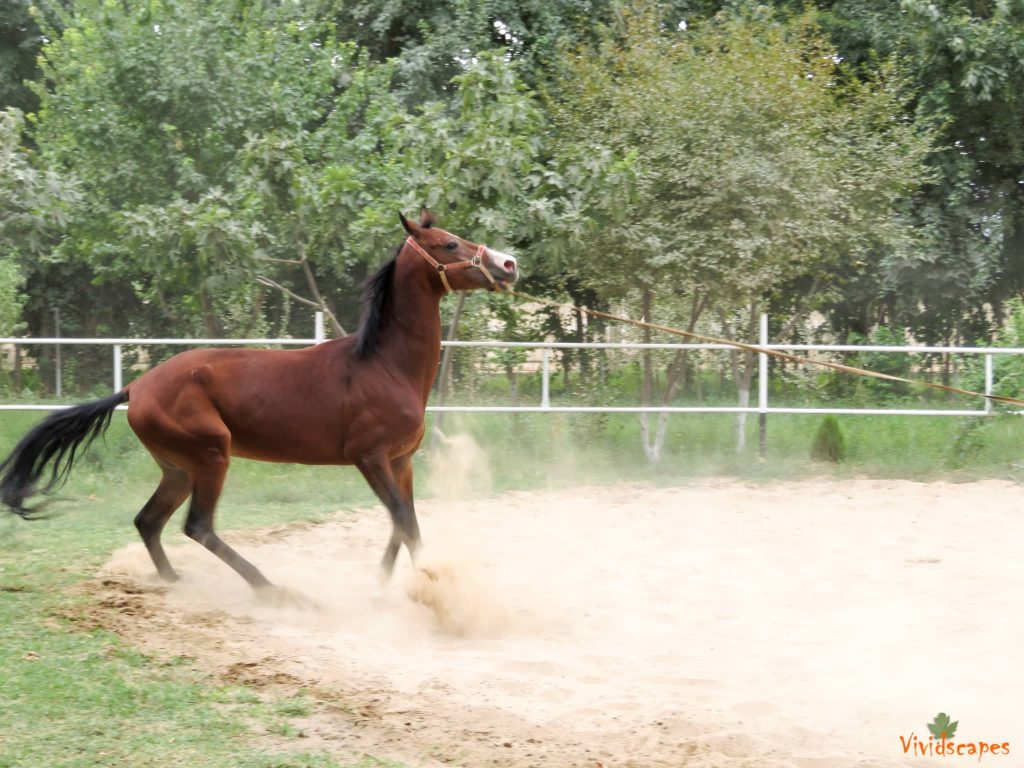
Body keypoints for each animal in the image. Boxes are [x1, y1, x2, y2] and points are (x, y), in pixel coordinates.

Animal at [0, 214, 520, 593]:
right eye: (449, 244)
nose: (508, 264)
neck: (384, 364)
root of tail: (136, 387)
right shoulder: (368, 457)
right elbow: (404, 521)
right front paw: (433, 588)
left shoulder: (401, 460)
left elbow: (405, 521)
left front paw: (388, 581)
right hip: (211, 455)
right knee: (198, 526)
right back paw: (271, 589)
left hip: (178, 468)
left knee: (148, 521)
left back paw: (174, 582)